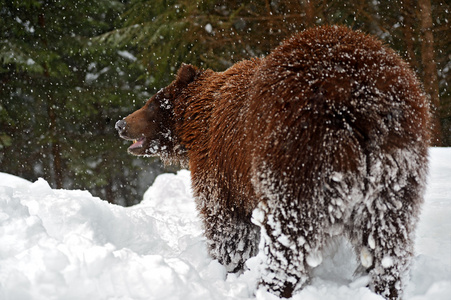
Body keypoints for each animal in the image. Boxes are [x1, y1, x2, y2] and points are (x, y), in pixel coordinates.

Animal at [115, 26, 430, 300]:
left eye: (153, 103)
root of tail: (356, 98)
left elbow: (226, 225)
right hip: (395, 166)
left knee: (291, 235)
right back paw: (382, 287)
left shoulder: (220, 167)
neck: (200, 124)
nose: (121, 124)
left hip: (296, 155)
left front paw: (228, 267)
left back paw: (271, 287)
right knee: (386, 236)